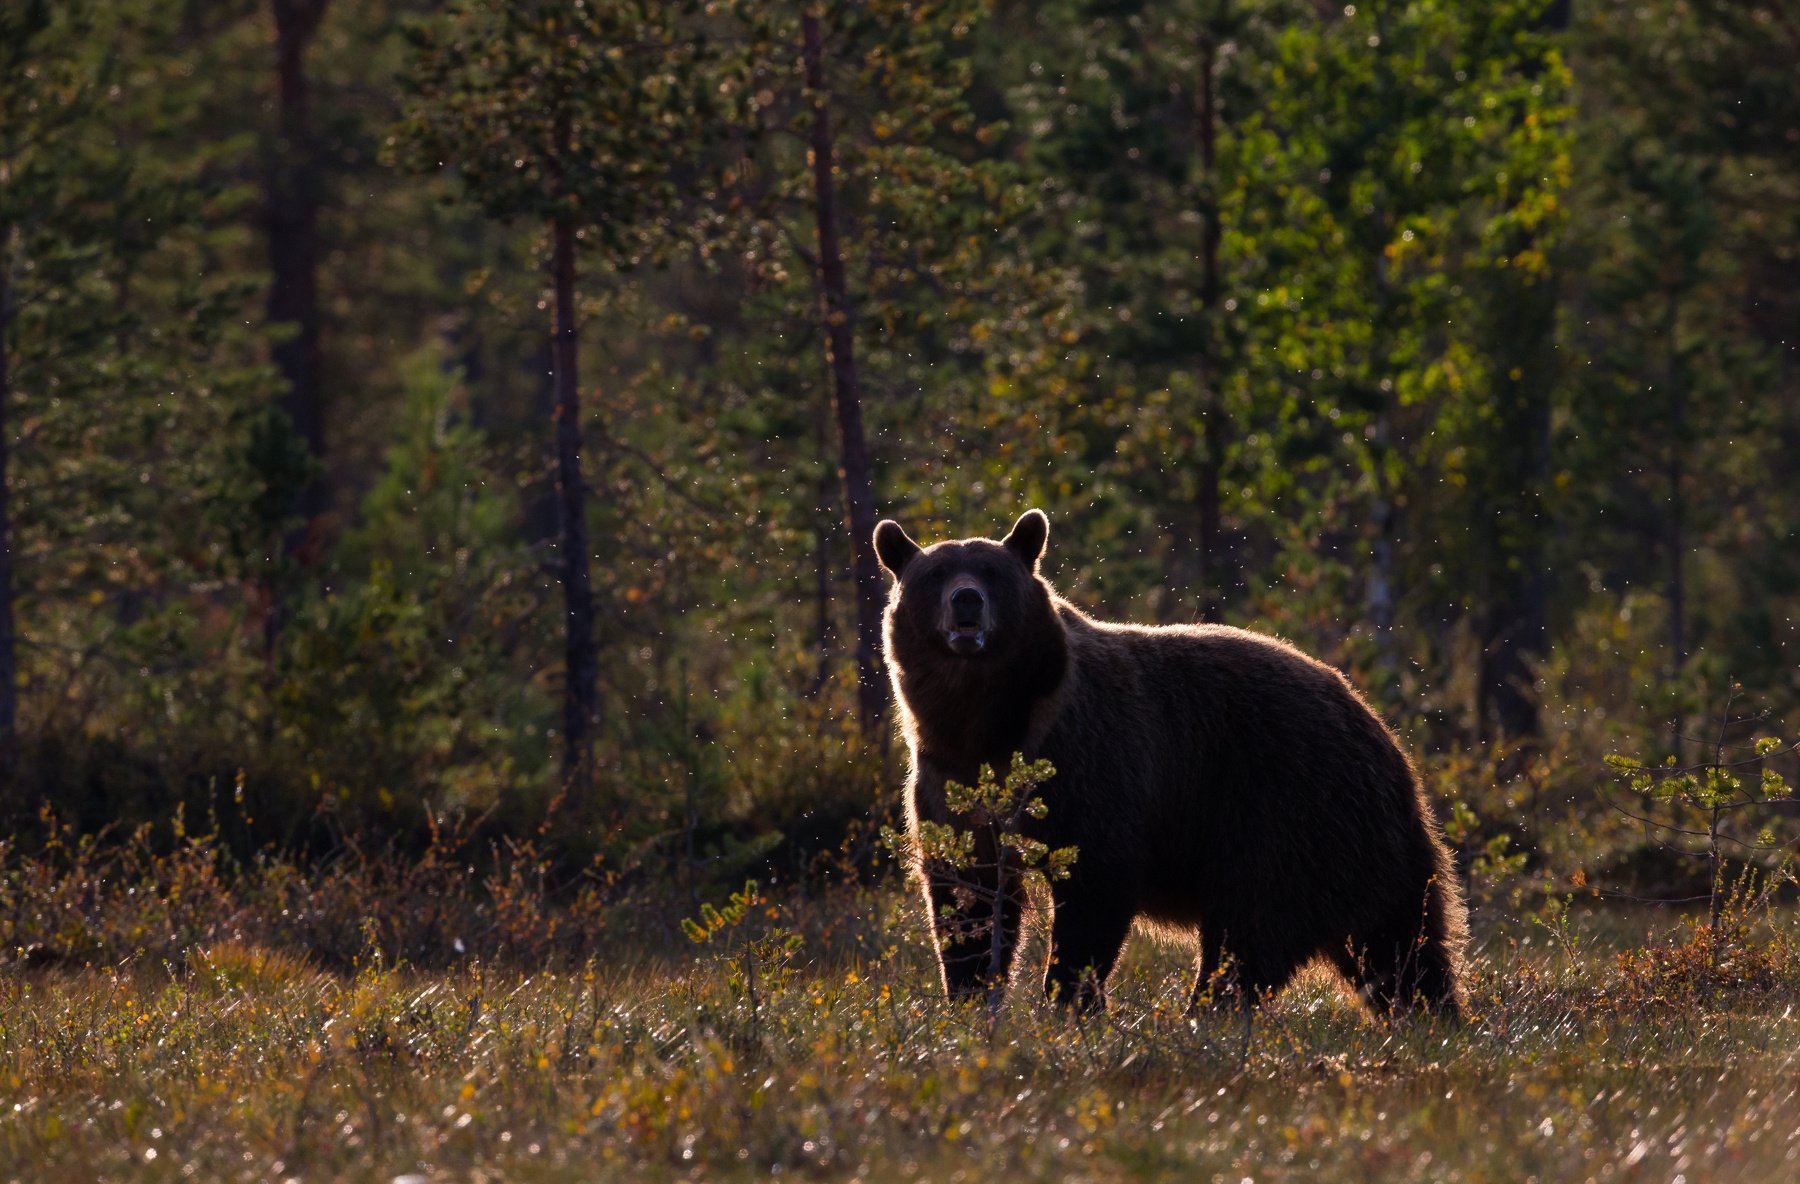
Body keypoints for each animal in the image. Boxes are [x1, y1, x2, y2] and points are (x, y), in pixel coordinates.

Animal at [878, 507, 1468, 1014]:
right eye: (936, 573)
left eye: (992, 571)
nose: (966, 601)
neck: (990, 723)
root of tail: (1384, 733)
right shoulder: (947, 774)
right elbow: (966, 892)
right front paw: (970, 992)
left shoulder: (1092, 759)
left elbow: (1094, 882)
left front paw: (1072, 997)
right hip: (1360, 845)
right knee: (1401, 948)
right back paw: (1432, 1016)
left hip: (1286, 813)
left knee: (1253, 933)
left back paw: (1205, 1011)